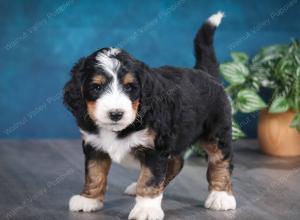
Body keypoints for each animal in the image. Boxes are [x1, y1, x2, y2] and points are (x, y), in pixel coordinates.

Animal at [63, 11, 237, 220]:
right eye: (96, 87)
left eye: (130, 87)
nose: (116, 114)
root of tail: (204, 73)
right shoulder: (94, 146)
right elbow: (94, 173)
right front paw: (89, 199)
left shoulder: (155, 148)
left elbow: (149, 179)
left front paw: (146, 209)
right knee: (176, 162)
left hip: (217, 132)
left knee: (221, 161)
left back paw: (221, 196)